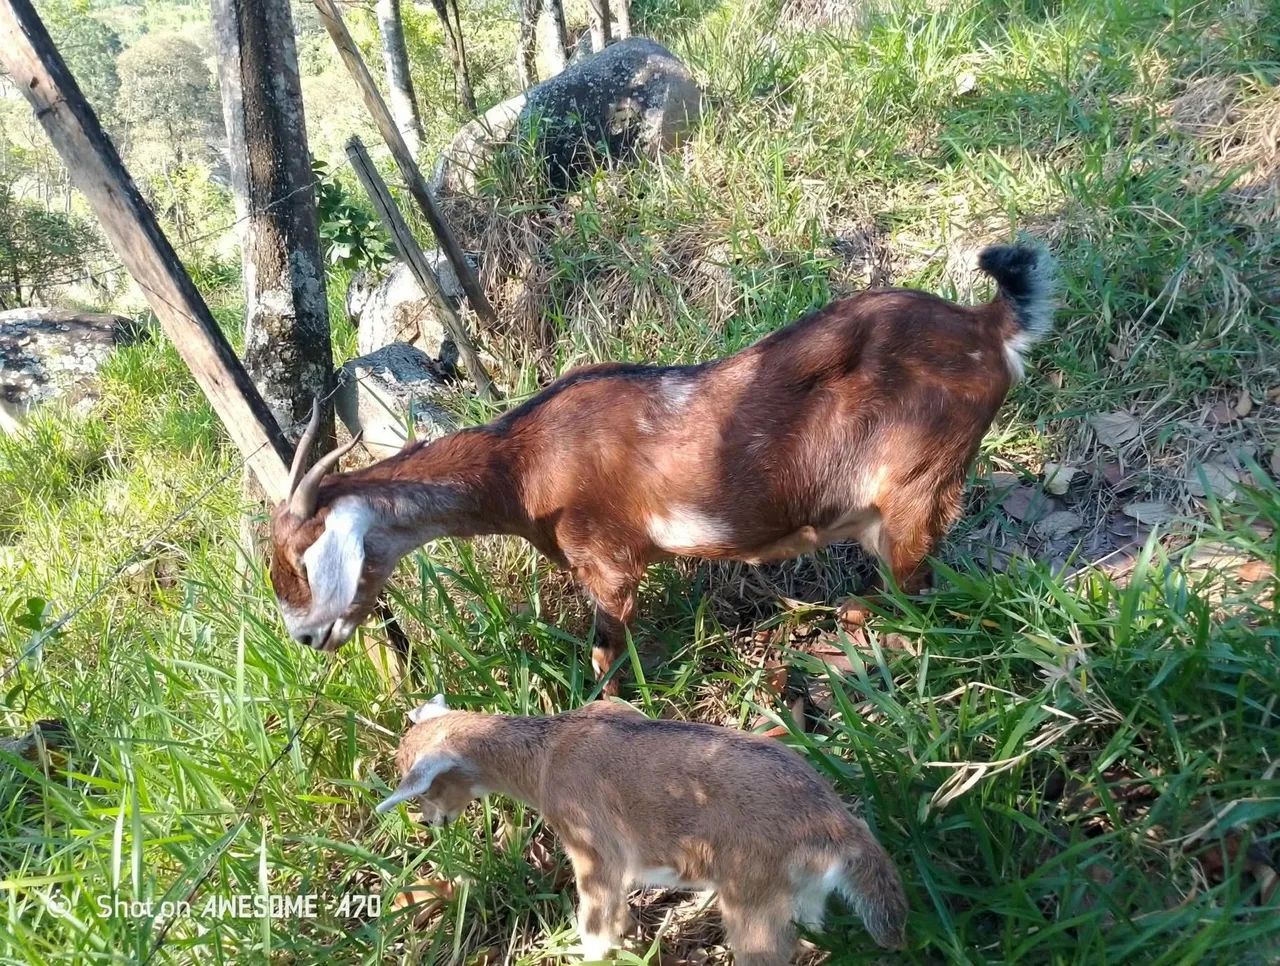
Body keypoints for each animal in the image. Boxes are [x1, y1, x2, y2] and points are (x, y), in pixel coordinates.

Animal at [269, 244, 1055, 692]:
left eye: (305, 557)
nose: (304, 638)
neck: (521, 463)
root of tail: (988, 327)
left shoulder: (609, 562)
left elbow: (604, 655)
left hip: (916, 483)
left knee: (923, 592)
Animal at [376, 695, 908, 963]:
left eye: (420, 791)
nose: (429, 823)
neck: (545, 753)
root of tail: (835, 823)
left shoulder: (593, 850)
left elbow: (594, 922)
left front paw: (591, 952)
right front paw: (630, 937)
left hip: (753, 902)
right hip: (802, 897)